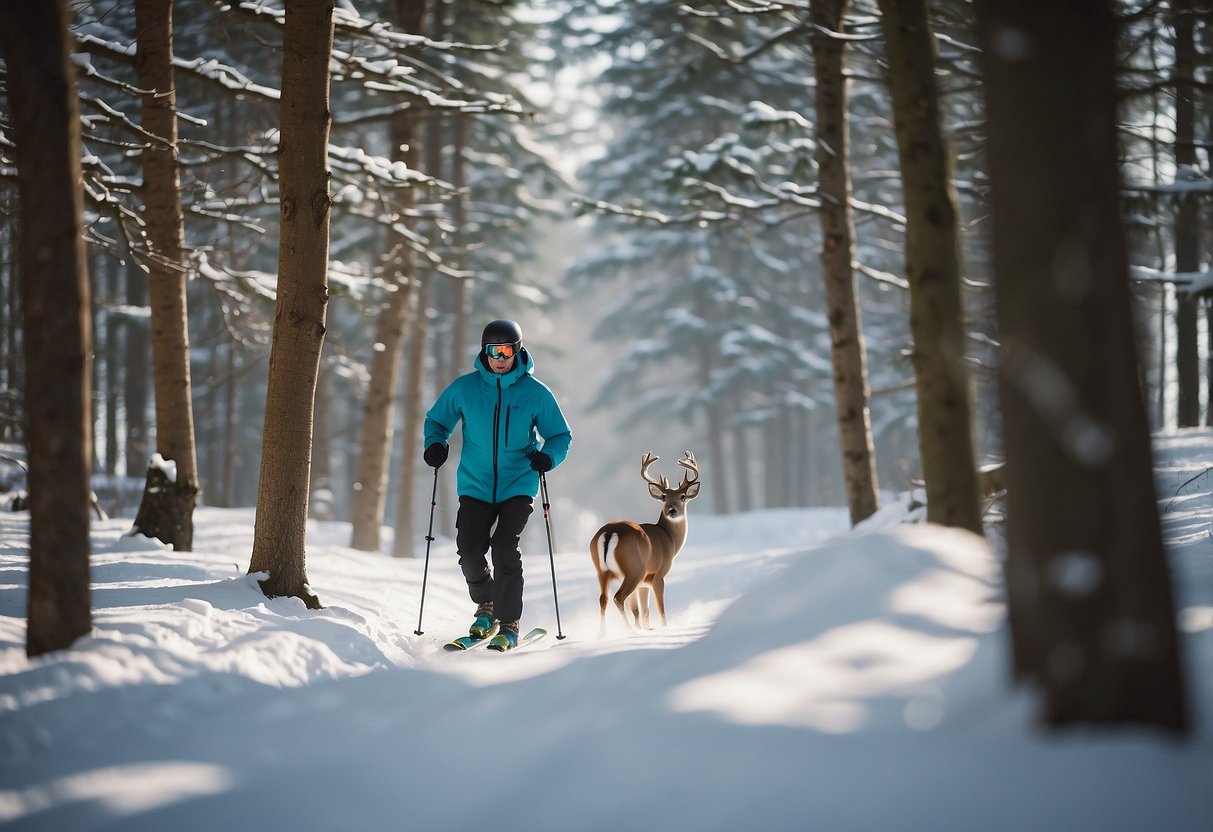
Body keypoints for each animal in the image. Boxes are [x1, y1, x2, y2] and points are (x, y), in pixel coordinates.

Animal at [589, 453, 703, 635]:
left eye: (682, 496)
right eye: (664, 497)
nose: (671, 510)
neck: (669, 538)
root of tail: (610, 532)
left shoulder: (643, 584)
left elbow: (642, 610)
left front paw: (646, 627)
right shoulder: (658, 574)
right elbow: (659, 608)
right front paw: (663, 627)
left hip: (601, 570)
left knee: (603, 599)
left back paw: (602, 635)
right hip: (634, 569)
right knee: (618, 597)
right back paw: (628, 629)